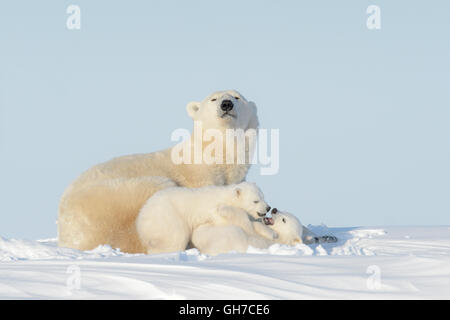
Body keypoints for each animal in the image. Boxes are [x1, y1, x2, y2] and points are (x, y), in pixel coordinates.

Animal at [58, 89, 258, 252]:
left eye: (237, 97)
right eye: (213, 99)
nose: (226, 104)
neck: (215, 154)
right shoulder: (200, 177)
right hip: (116, 197)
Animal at [135, 182, 272, 255]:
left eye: (263, 197)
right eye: (256, 201)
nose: (268, 207)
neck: (226, 197)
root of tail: (142, 218)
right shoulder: (214, 212)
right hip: (168, 217)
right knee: (175, 238)